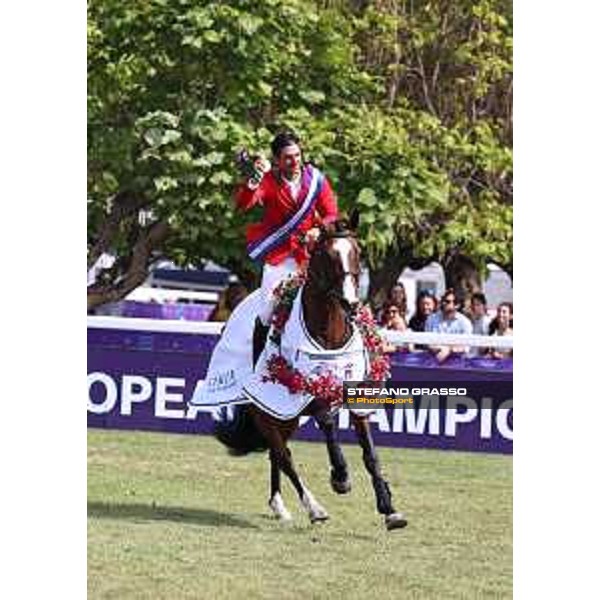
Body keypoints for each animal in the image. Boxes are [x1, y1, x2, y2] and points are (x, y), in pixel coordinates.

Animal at [213, 214, 406, 528]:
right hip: (266, 411)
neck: (331, 332)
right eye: (327, 257)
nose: (351, 304)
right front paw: (340, 477)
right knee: (283, 455)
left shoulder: (356, 393)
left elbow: (371, 454)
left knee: (276, 455)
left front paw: (390, 509)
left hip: (286, 417)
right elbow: (327, 422)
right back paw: (314, 508)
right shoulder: (310, 391)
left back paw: (279, 506)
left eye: (358, 253)